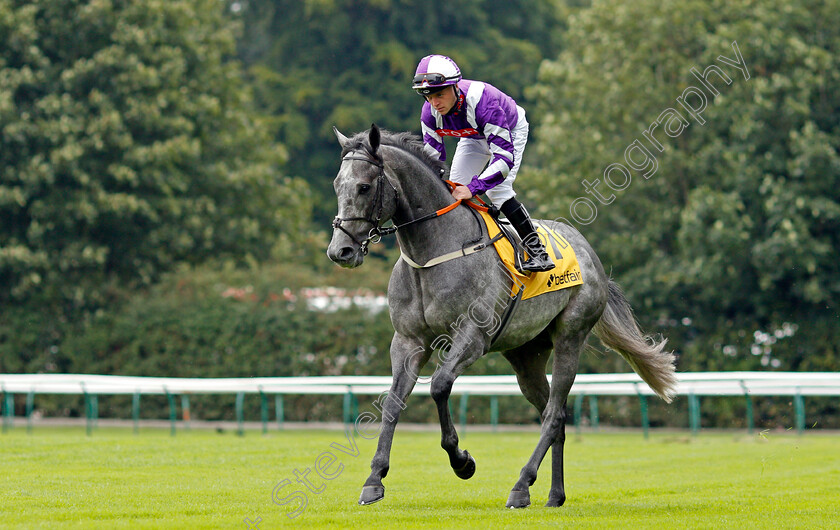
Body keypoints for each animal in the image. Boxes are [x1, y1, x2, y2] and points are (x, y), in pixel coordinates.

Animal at [326, 124, 676, 508]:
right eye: (337, 184)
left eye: (364, 186)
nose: (340, 251)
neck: (434, 252)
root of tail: (588, 251)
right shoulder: (408, 341)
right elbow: (392, 402)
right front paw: (374, 479)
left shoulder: (472, 336)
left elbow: (439, 386)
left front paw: (462, 461)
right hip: (526, 354)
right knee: (555, 415)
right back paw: (554, 494)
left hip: (571, 336)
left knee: (553, 414)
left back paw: (521, 486)